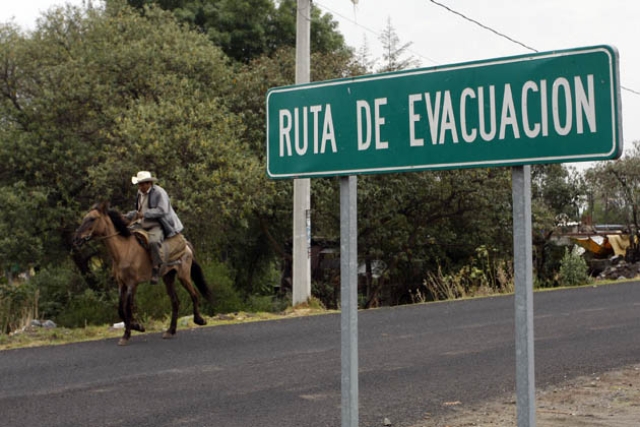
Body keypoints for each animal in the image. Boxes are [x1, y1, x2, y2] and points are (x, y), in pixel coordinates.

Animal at [72, 202, 212, 346]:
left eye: (92, 219)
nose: (76, 238)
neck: (124, 250)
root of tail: (186, 245)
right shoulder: (121, 284)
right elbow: (121, 309)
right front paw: (137, 326)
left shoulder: (132, 284)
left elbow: (127, 308)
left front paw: (126, 335)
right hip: (168, 278)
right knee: (175, 302)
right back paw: (170, 331)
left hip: (183, 276)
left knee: (194, 294)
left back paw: (199, 320)